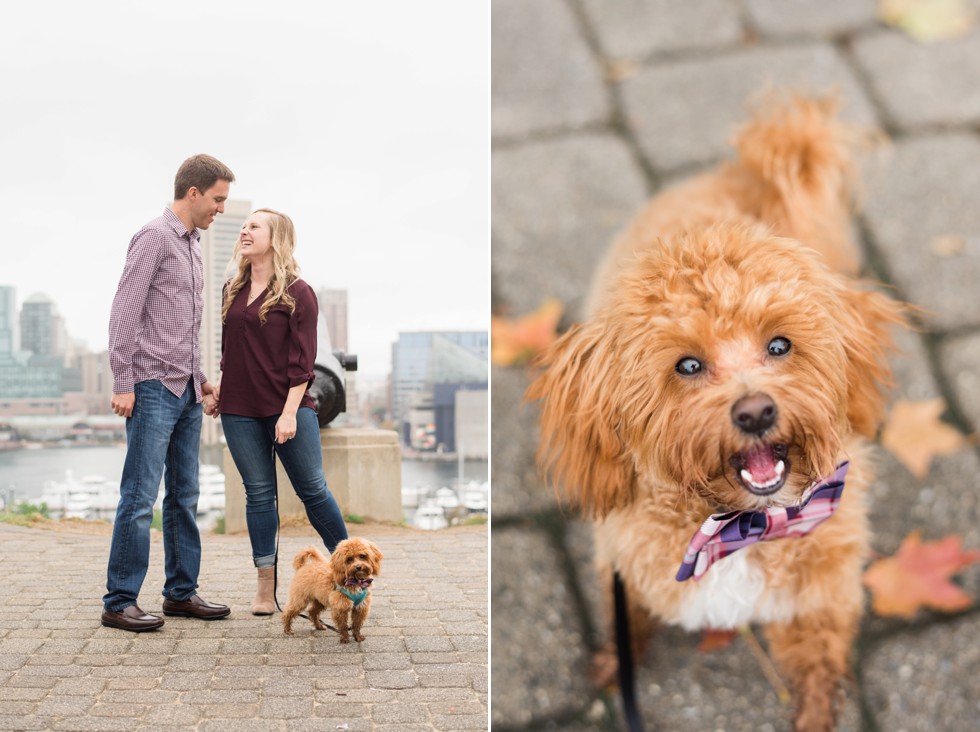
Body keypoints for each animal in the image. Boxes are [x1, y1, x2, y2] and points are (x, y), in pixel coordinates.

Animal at [532, 94, 908, 728]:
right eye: (687, 365)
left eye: (780, 345)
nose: (755, 412)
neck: (743, 527)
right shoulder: (626, 558)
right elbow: (630, 614)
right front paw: (613, 662)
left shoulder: (823, 587)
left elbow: (819, 657)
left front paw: (816, 711)